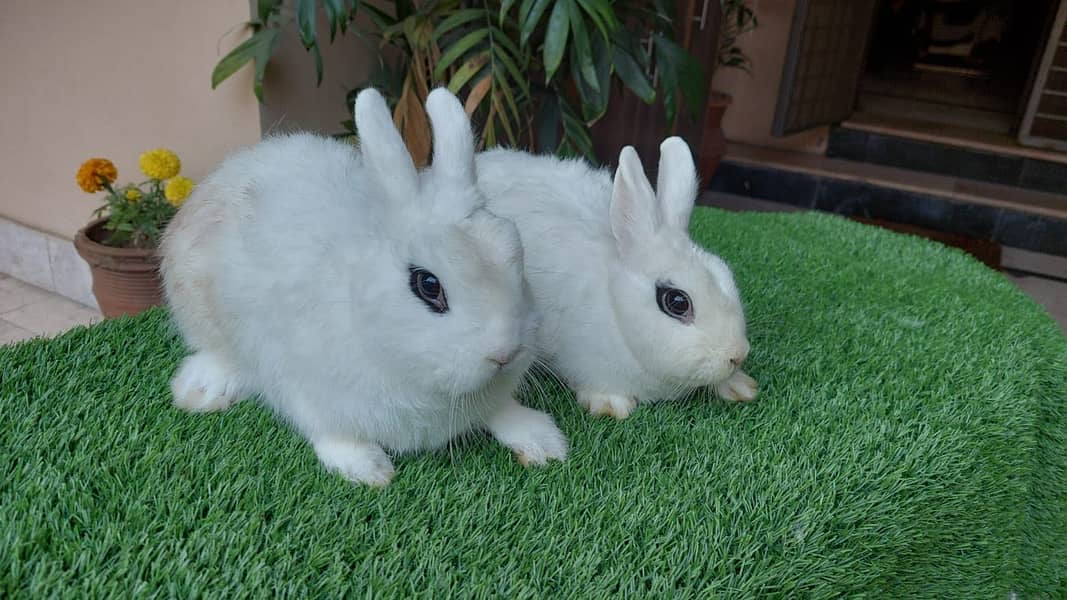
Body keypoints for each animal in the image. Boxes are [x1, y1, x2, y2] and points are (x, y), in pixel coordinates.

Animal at [160, 88, 567, 486]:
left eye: (514, 252)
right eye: (427, 285)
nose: (505, 354)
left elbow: (502, 413)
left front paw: (543, 441)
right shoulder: (305, 388)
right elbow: (331, 432)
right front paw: (367, 469)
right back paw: (201, 390)